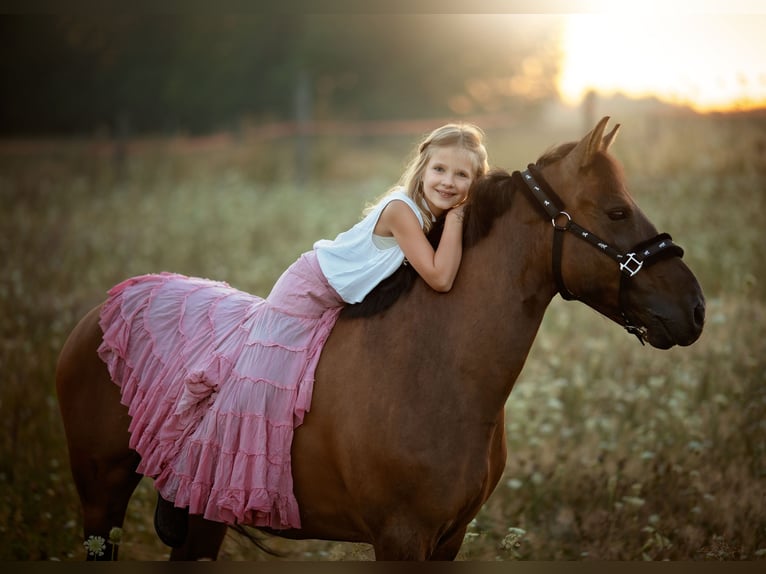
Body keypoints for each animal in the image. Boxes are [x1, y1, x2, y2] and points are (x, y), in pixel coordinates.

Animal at [55, 118, 708, 564]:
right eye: (617, 212)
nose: (695, 309)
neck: (433, 367)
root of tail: (103, 308)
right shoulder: (401, 538)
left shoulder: (448, 538)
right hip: (102, 495)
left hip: (200, 513)